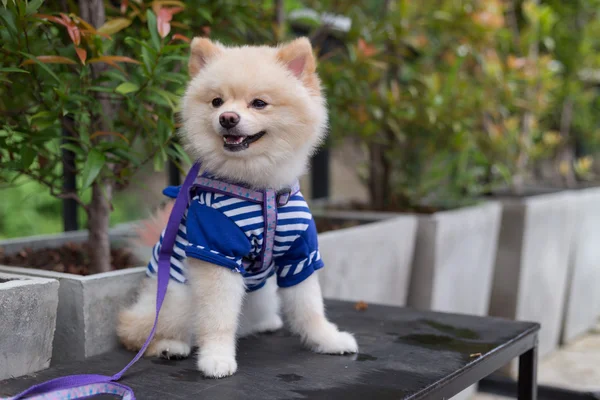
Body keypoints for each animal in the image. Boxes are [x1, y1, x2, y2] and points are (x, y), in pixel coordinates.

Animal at [119, 37, 358, 378]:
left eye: (259, 103)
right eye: (217, 102)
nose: (227, 118)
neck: (260, 190)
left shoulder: (300, 253)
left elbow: (310, 306)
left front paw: (327, 339)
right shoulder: (216, 252)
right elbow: (217, 317)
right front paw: (217, 358)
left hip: (261, 295)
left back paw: (264, 324)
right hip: (176, 298)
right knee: (134, 331)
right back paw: (168, 346)